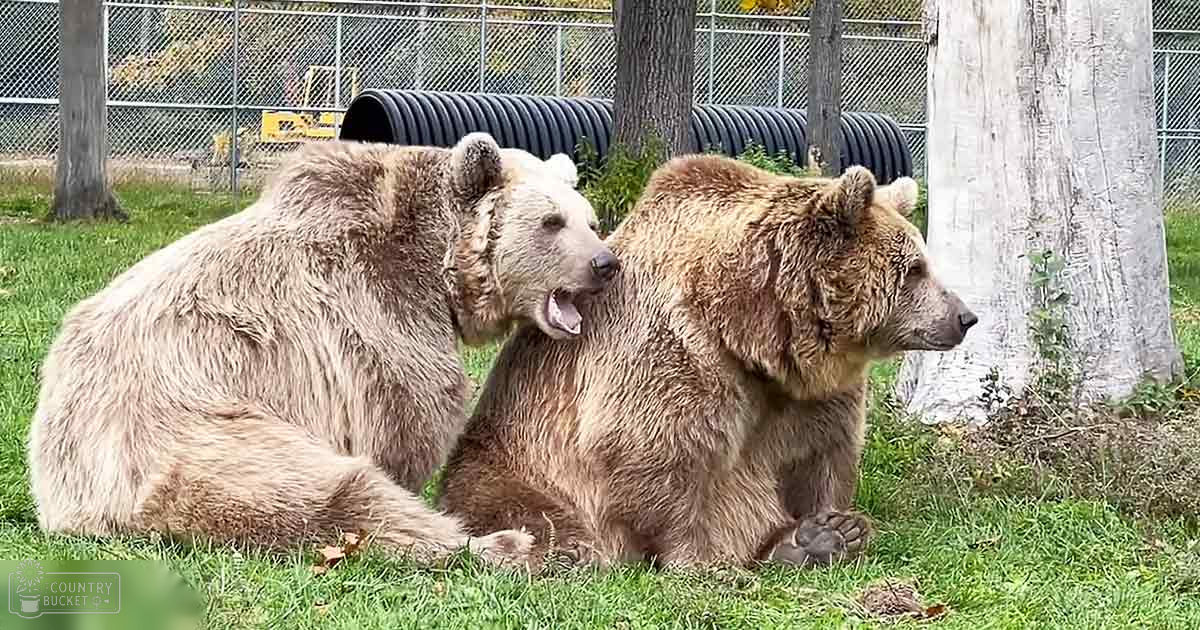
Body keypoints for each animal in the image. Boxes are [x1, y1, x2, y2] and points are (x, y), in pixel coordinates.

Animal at [26, 132, 619, 568]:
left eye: (590, 220)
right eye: (551, 222)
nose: (605, 263)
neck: (435, 265)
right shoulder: (375, 318)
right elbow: (409, 414)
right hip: (196, 433)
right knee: (334, 497)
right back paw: (503, 543)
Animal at [437, 155, 978, 570]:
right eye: (915, 268)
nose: (964, 316)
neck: (752, 328)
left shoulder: (814, 393)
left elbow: (822, 454)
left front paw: (834, 527)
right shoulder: (674, 349)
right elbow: (657, 453)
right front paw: (707, 559)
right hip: (515, 463)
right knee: (527, 513)